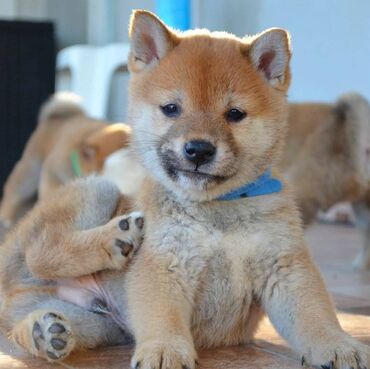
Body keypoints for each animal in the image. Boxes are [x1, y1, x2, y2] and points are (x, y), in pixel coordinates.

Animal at [0, 92, 132, 227]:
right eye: (127, 147)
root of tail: (55, 118)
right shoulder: (53, 171)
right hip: (30, 170)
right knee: (14, 190)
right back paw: (4, 215)